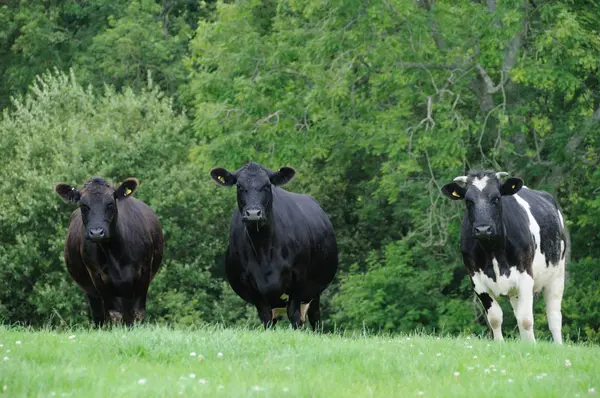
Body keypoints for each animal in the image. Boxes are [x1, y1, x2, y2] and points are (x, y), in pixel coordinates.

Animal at [55, 177, 163, 326]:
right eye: (83, 205)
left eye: (110, 203)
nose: (96, 232)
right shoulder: (97, 276)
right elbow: (114, 314)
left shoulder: (144, 272)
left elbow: (139, 312)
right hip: (93, 293)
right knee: (100, 315)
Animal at [210, 162, 338, 330]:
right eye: (239, 185)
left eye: (267, 185)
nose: (253, 213)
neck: (263, 249)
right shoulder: (249, 283)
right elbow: (266, 317)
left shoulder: (299, 277)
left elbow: (293, 314)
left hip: (314, 292)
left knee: (315, 318)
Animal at [440, 170, 568, 342]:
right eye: (468, 201)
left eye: (496, 198)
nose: (483, 229)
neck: (493, 251)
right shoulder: (477, 281)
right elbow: (495, 318)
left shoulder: (525, 276)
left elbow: (526, 319)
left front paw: (532, 345)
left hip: (557, 274)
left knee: (554, 316)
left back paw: (558, 344)